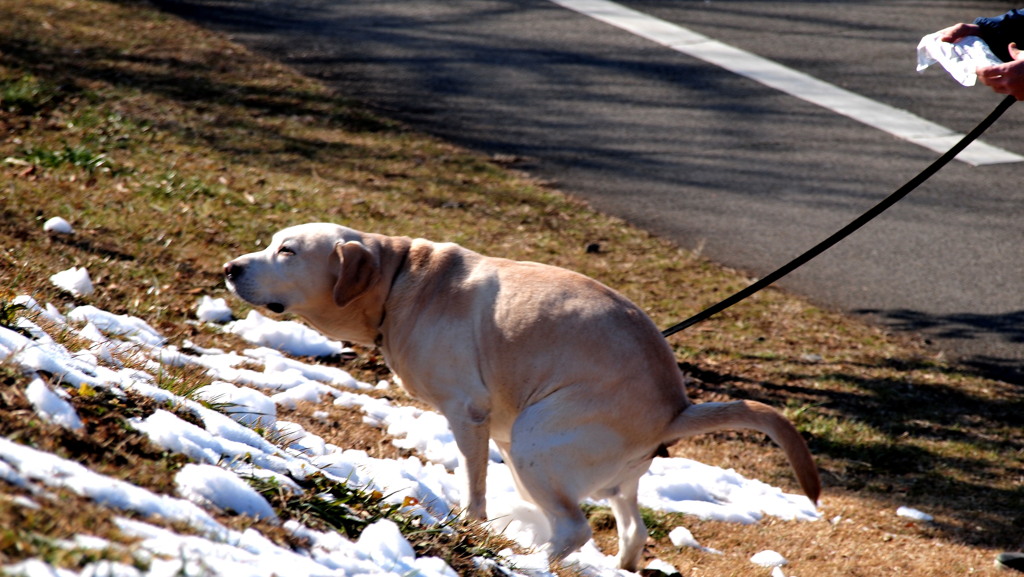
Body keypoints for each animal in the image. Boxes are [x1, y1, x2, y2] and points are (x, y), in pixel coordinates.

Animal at [224, 223, 815, 569]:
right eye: (272, 242)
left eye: (287, 251)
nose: (231, 268)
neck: (398, 281)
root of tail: (676, 407)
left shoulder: (469, 413)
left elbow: (474, 489)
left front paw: (471, 524)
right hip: (587, 471)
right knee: (632, 532)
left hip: (532, 440)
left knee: (575, 527)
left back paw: (534, 557)